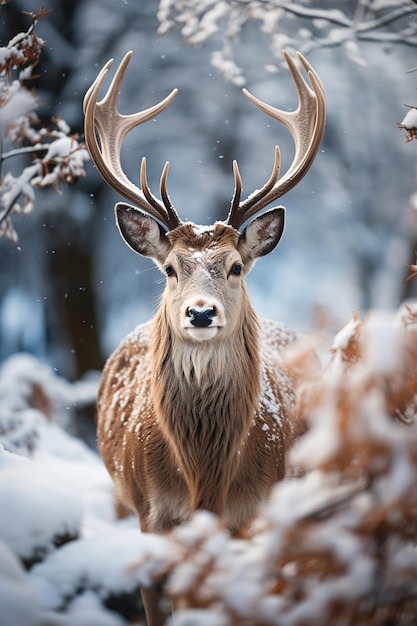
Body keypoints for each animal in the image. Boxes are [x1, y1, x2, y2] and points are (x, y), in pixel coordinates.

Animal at [83, 50, 324, 624]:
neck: (204, 481)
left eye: (235, 265)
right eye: (170, 268)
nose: (199, 312)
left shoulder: (255, 512)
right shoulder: (150, 514)